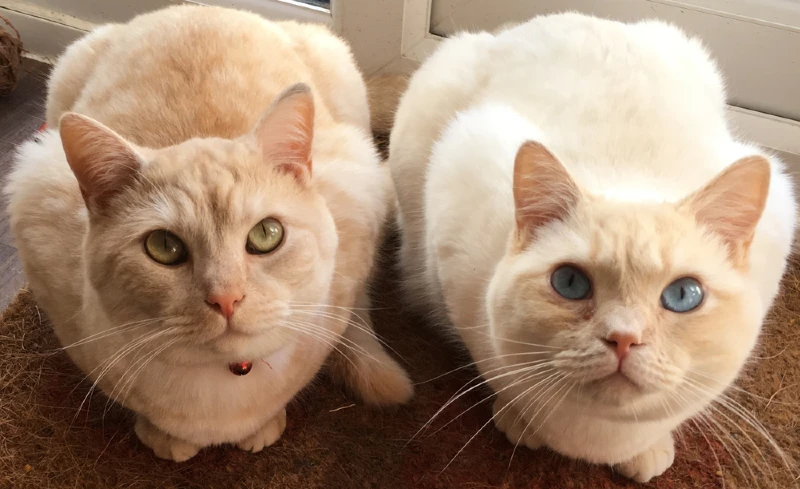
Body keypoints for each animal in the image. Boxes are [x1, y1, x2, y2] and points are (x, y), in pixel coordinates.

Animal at [3, 4, 410, 462]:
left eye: (267, 234)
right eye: (164, 247)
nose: (226, 299)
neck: (223, 388)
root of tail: (199, 7)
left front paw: (266, 424)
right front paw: (165, 437)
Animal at [388, 13, 792, 482]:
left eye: (683, 295)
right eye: (570, 283)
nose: (624, 339)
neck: (595, 440)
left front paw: (649, 450)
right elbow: (495, 371)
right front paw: (518, 417)